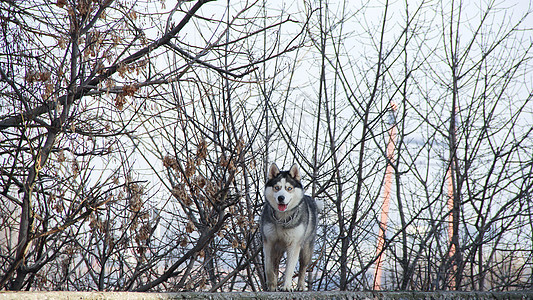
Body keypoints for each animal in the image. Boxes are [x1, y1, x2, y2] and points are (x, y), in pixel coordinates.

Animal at [258, 163, 318, 292]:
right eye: (277, 187)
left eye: (289, 188)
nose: (281, 197)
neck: (282, 219)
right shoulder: (269, 242)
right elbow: (269, 267)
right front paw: (272, 284)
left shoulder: (294, 245)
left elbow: (289, 269)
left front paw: (286, 286)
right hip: (278, 249)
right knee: (275, 265)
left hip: (306, 248)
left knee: (303, 267)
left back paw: (300, 286)